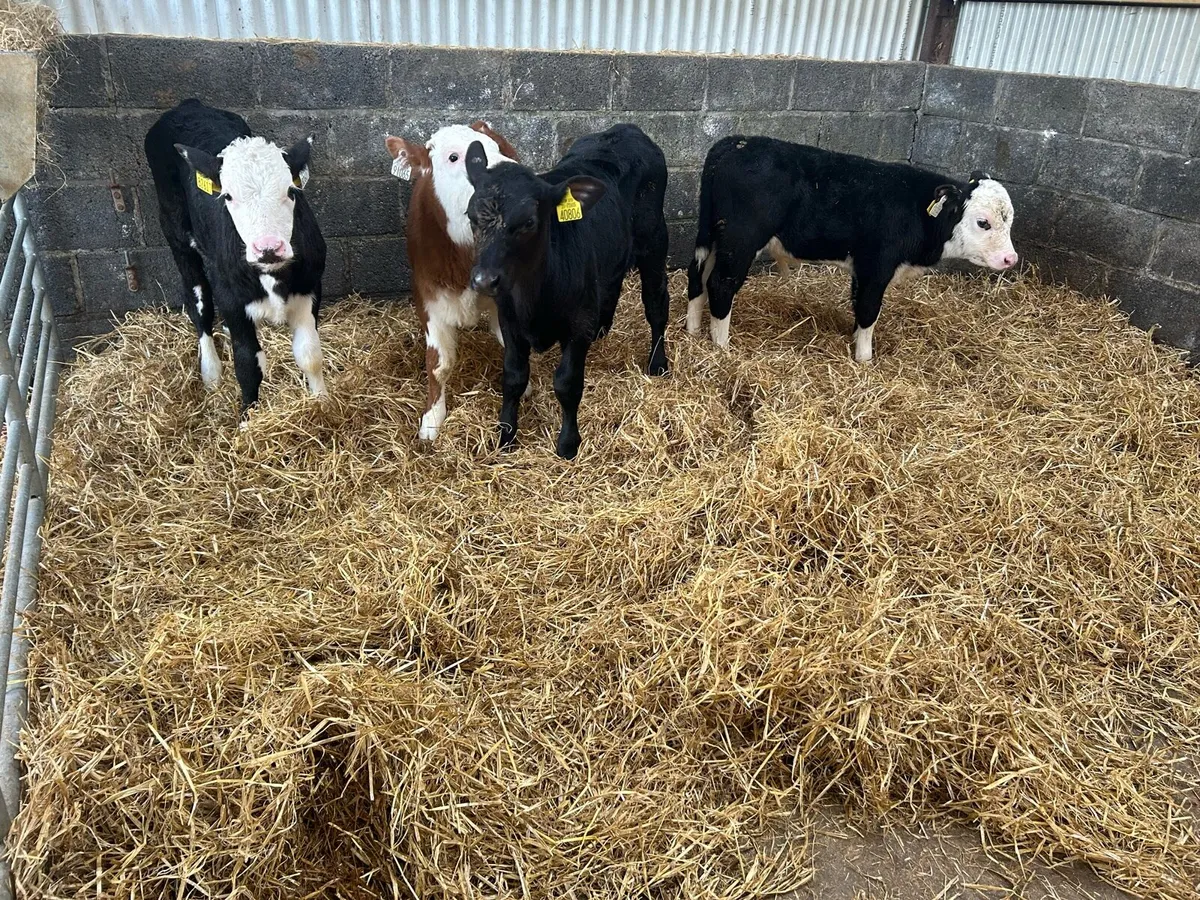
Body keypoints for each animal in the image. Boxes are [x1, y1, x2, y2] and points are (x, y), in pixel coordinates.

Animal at [144, 98, 327, 420]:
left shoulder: (310, 287)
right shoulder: (230, 299)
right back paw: (211, 373)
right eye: (227, 196)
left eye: (291, 190)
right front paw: (246, 421)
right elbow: (247, 365)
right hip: (176, 235)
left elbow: (309, 355)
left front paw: (324, 402)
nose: (268, 247)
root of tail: (188, 105)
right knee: (199, 304)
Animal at [463, 124, 670, 460]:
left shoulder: (578, 323)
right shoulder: (509, 320)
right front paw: (506, 436)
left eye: (529, 222)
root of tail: (627, 129)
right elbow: (514, 376)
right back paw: (603, 330)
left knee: (656, 305)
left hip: (653, 242)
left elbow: (567, 383)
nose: (483, 280)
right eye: (471, 217)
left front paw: (568, 443)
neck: (533, 298)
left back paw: (658, 363)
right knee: (612, 284)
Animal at [686, 136, 1019, 363]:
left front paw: (856, 340)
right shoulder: (877, 266)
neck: (915, 210)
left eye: (1010, 219)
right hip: (740, 241)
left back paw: (693, 330)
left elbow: (858, 306)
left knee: (697, 276)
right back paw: (721, 346)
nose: (1010, 258)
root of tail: (734, 143)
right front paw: (864, 359)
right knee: (721, 284)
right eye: (983, 223)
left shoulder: (861, 268)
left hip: (713, 237)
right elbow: (869, 310)